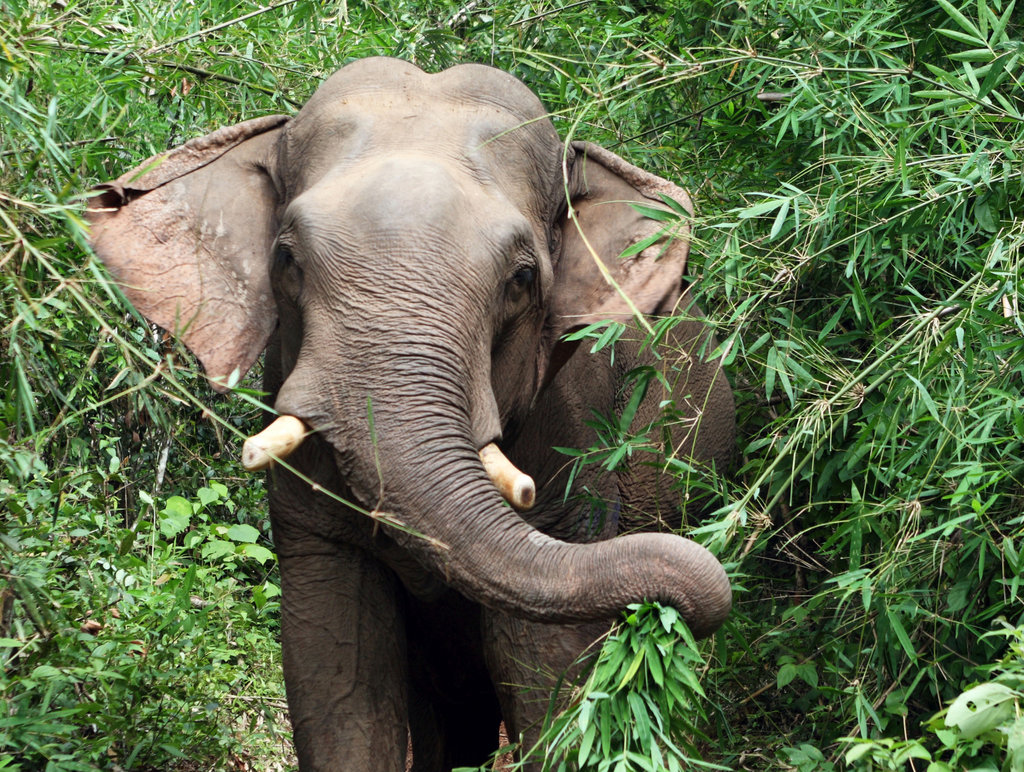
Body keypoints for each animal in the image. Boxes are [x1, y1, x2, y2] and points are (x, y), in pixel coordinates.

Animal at [87, 57, 734, 771]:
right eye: (286, 259)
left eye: (521, 280)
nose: (686, 595)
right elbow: (339, 668)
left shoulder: (570, 434)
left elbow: (546, 666)